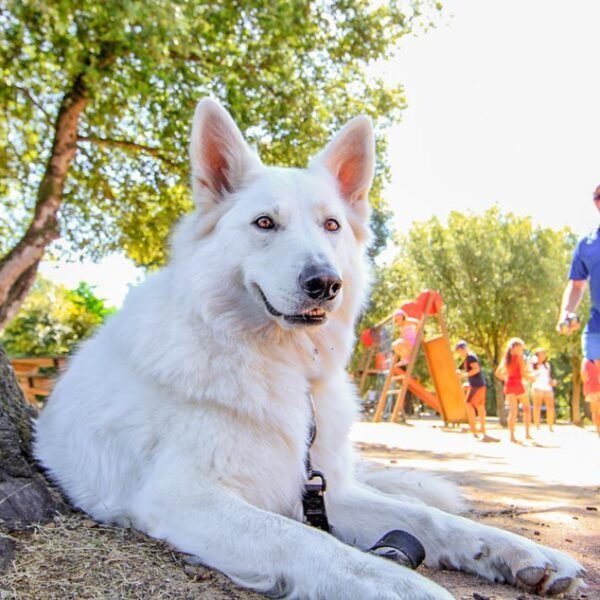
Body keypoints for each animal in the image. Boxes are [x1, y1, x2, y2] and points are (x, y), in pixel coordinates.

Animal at [34, 98, 580, 596]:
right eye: (264, 223)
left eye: (331, 225)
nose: (325, 283)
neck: (280, 365)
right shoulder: (185, 495)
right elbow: (322, 547)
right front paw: (410, 588)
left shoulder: (323, 489)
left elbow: (428, 518)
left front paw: (517, 551)